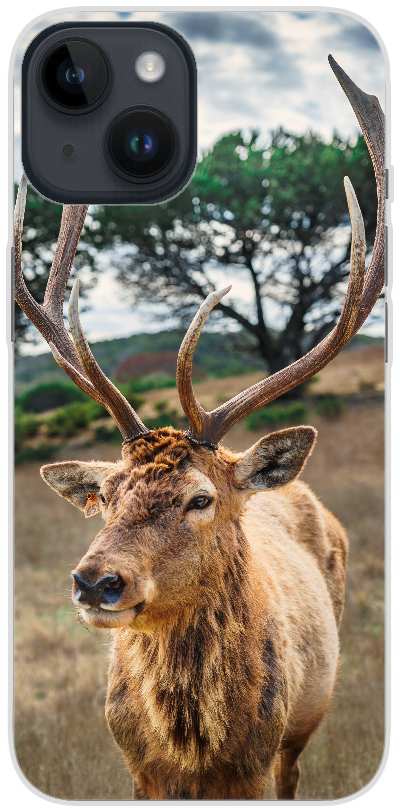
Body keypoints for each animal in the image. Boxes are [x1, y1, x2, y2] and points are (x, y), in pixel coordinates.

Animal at [14, 56, 384, 800]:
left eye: (200, 498)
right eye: (107, 495)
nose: (96, 582)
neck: (194, 750)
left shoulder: (260, 763)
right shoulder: (136, 770)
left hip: (305, 724)